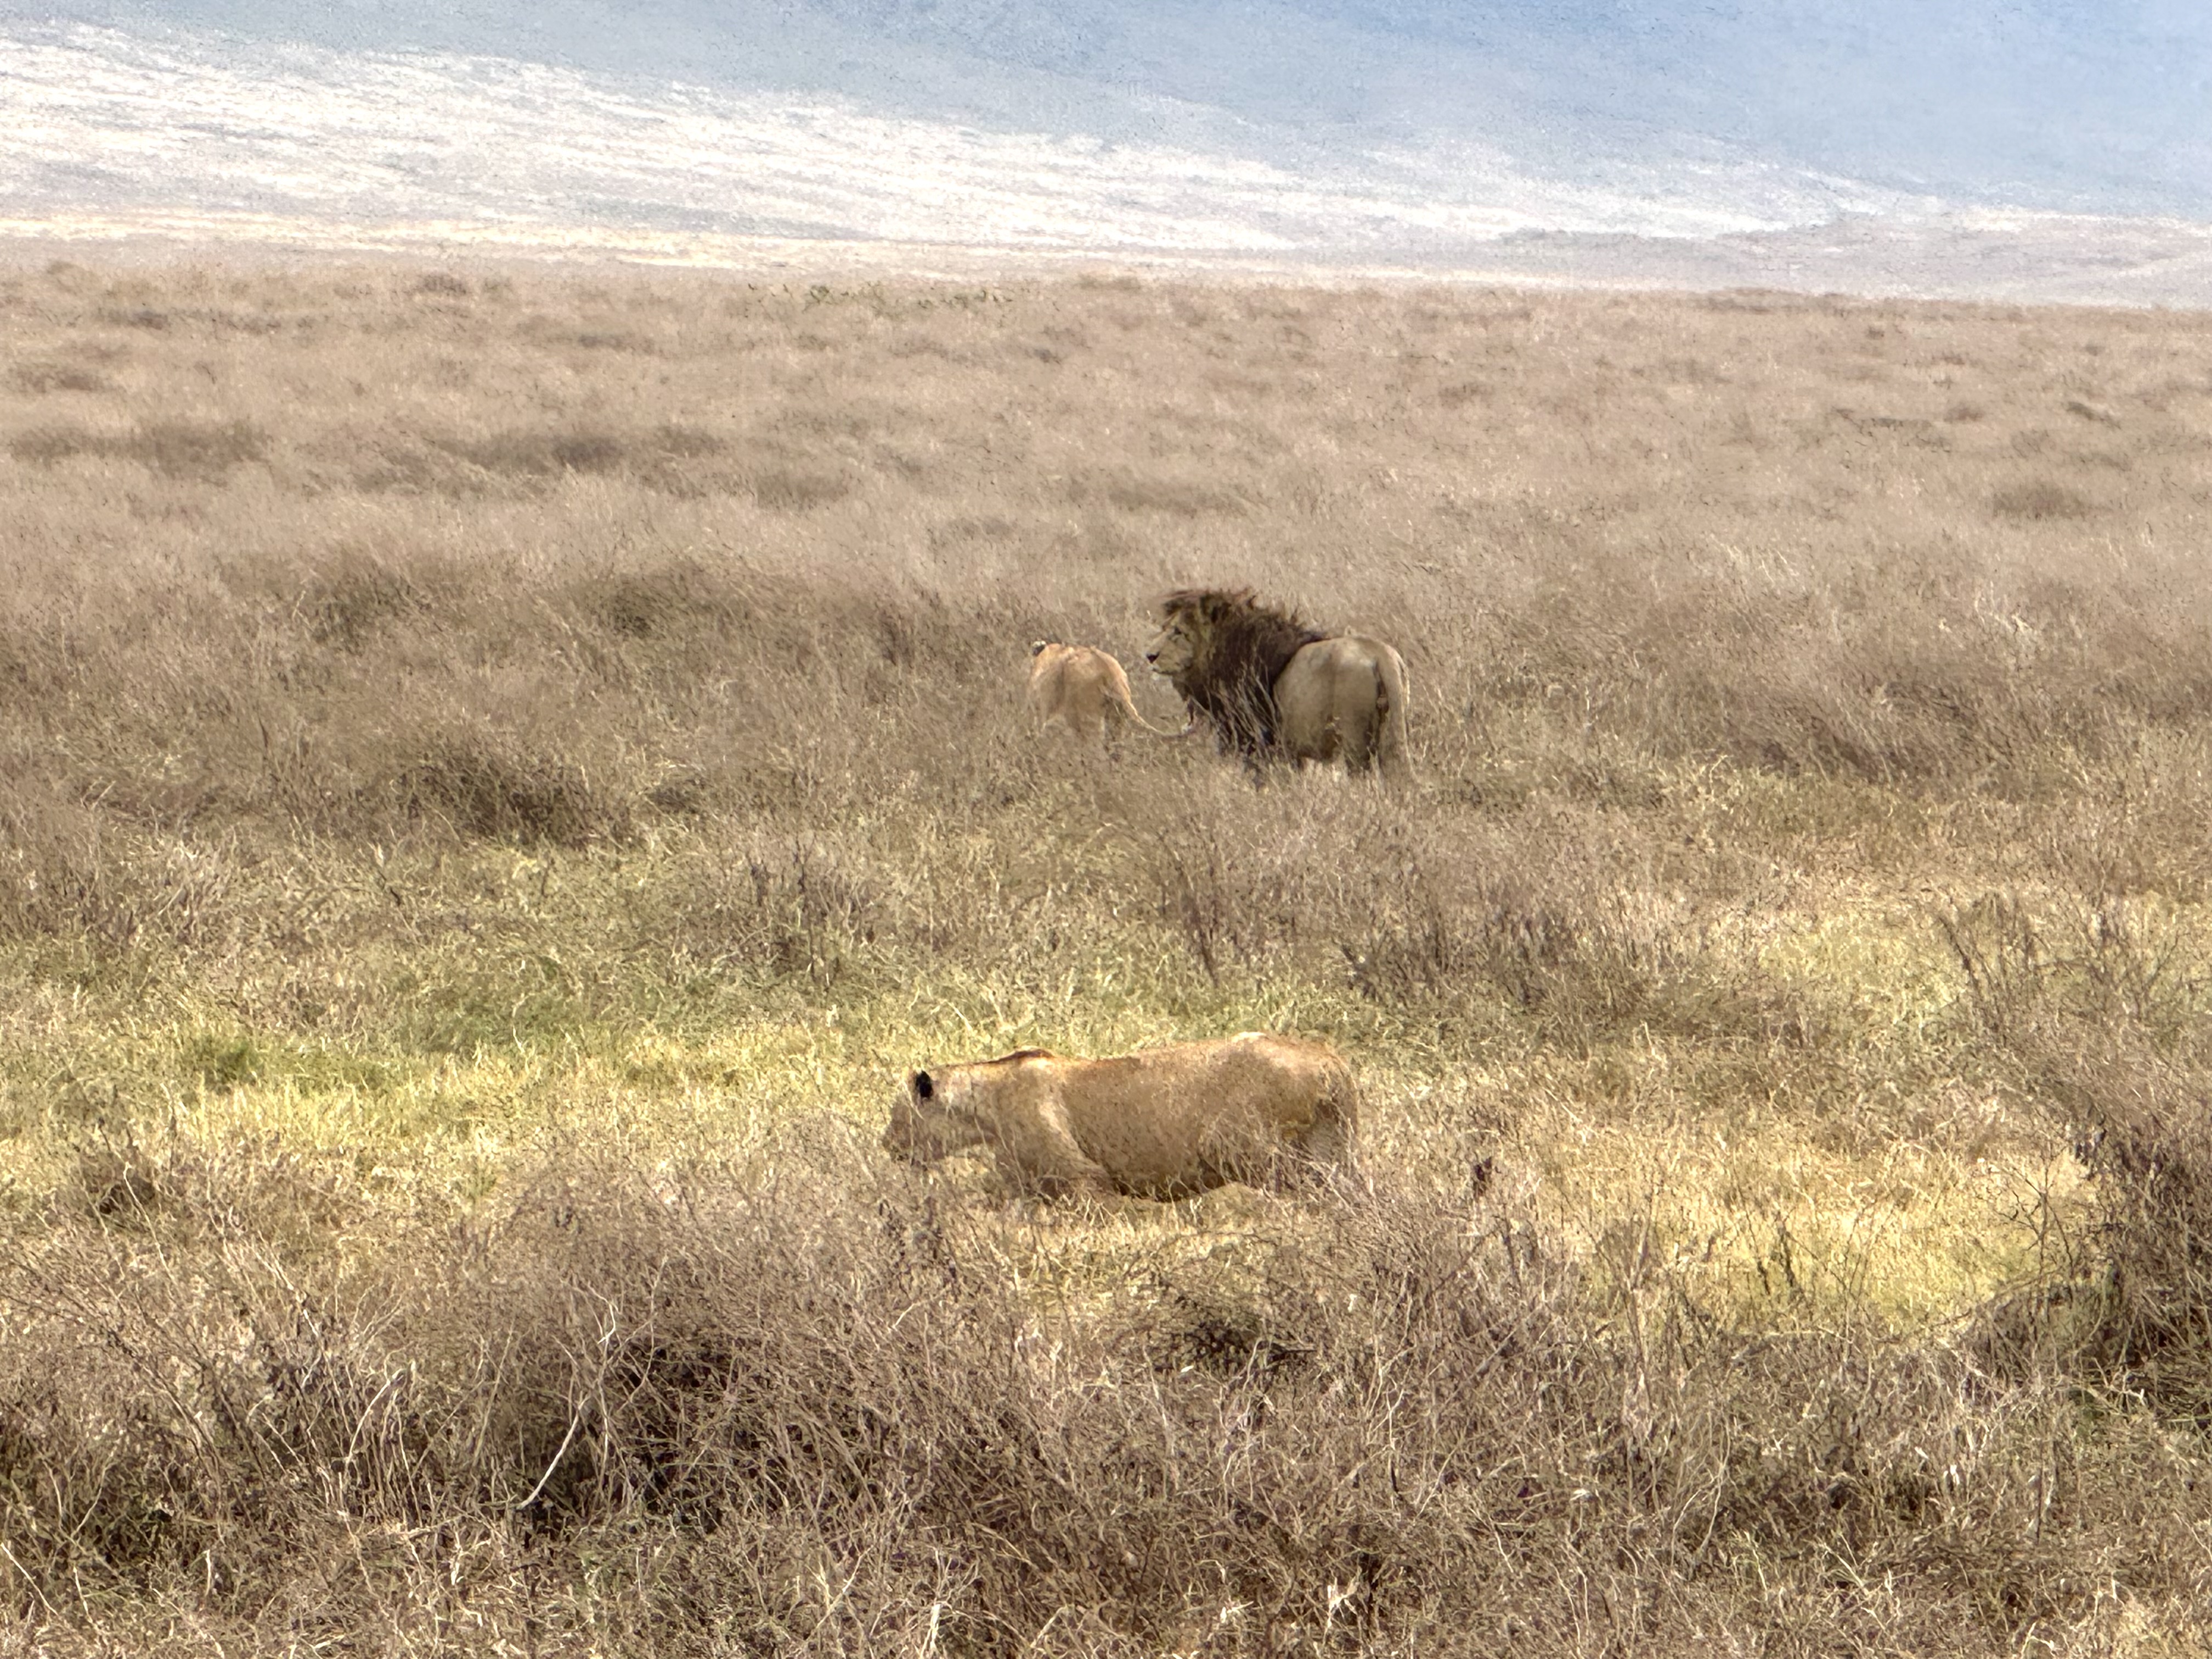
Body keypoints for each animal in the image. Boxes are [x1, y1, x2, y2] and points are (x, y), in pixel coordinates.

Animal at [882, 1031, 1358, 1201]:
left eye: (898, 1113)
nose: (887, 1144)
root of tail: (1331, 1063)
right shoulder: (1024, 1187)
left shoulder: (1086, 1179)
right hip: (1332, 1150)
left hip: (1253, 1153)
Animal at [1143, 589, 1409, 777]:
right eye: (1165, 628)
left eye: (1178, 631)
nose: (1149, 656)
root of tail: (1380, 655)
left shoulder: (1261, 743)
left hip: (1355, 741)